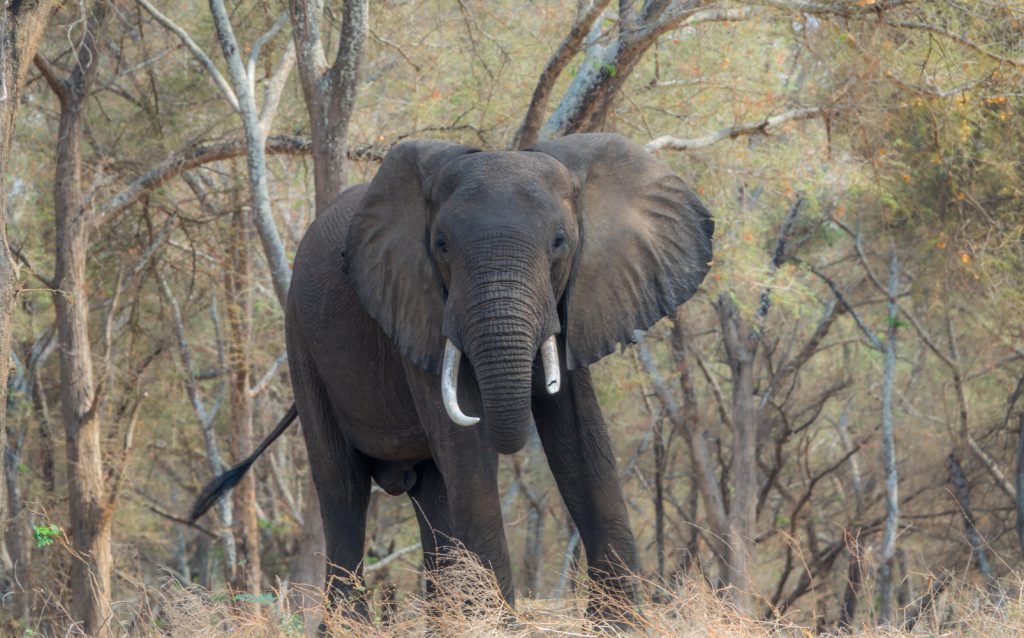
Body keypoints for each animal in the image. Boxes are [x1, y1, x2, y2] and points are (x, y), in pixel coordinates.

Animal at [188, 131, 712, 622]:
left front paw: (619, 626)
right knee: (342, 488)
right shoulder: (415, 301)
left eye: (560, 243)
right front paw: (499, 626)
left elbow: (582, 439)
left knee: (431, 496)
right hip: (301, 341)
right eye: (441, 246)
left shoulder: (577, 298)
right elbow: (469, 452)